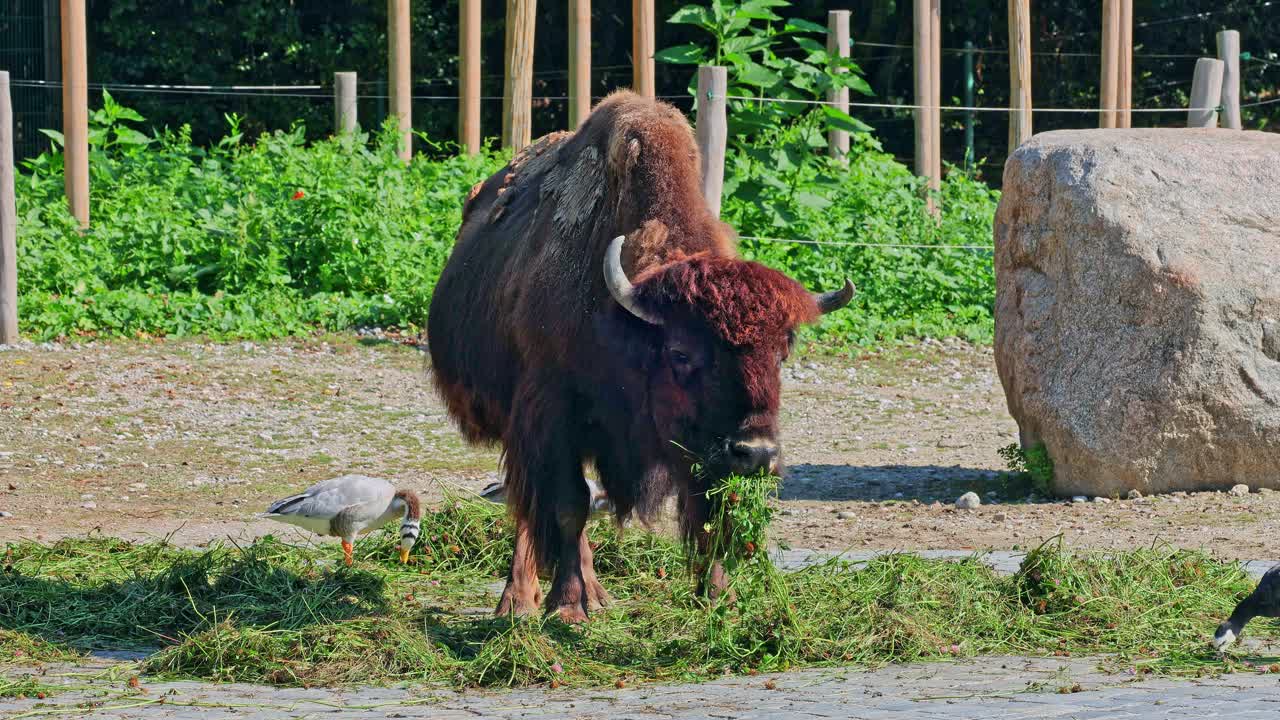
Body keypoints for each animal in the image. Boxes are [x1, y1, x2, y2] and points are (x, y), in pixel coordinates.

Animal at [424, 88, 855, 617]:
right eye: (680, 352)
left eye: (782, 353)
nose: (756, 452)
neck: (622, 323)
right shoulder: (552, 415)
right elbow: (567, 506)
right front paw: (568, 607)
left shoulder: (701, 451)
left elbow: (709, 513)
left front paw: (721, 597)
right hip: (514, 420)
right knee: (528, 505)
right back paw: (520, 601)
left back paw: (595, 593)